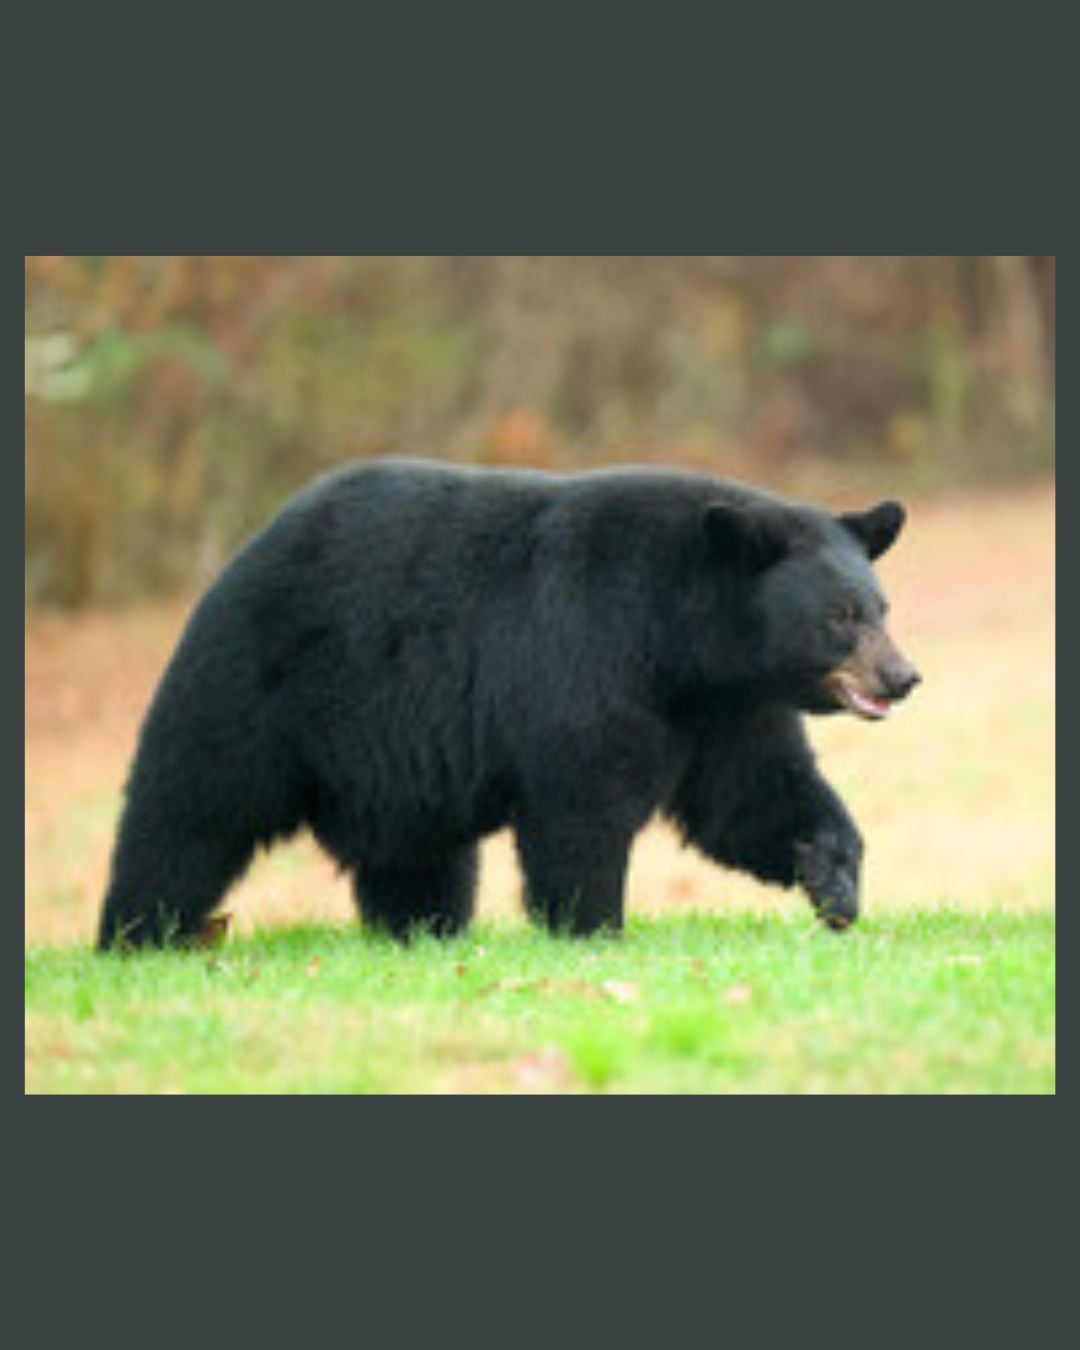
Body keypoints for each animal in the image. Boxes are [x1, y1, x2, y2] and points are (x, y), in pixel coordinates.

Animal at [97, 458, 920, 951]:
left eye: (882, 607)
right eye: (841, 615)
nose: (901, 675)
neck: (681, 639)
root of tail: (247, 548)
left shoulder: (724, 707)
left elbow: (752, 796)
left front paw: (833, 881)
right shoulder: (586, 652)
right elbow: (581, 804)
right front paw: (592, 927)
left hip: (392, 767)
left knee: (418, 858)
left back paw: (422, 932)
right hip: (256, 689)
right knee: (187, 813)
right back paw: (136, 934)